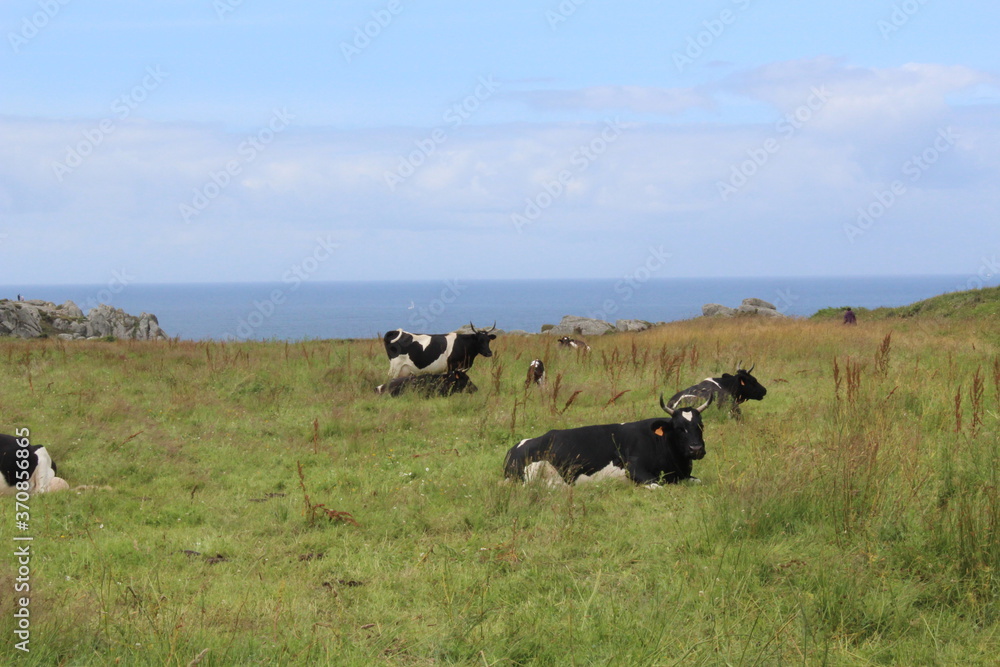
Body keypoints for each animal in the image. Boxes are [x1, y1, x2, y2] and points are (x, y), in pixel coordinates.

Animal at [503, 394, 713, 487]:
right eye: (679, 428)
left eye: (700, 425)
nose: (696, 449)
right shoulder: (635, 469)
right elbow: (657, 486)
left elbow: (699, 480)